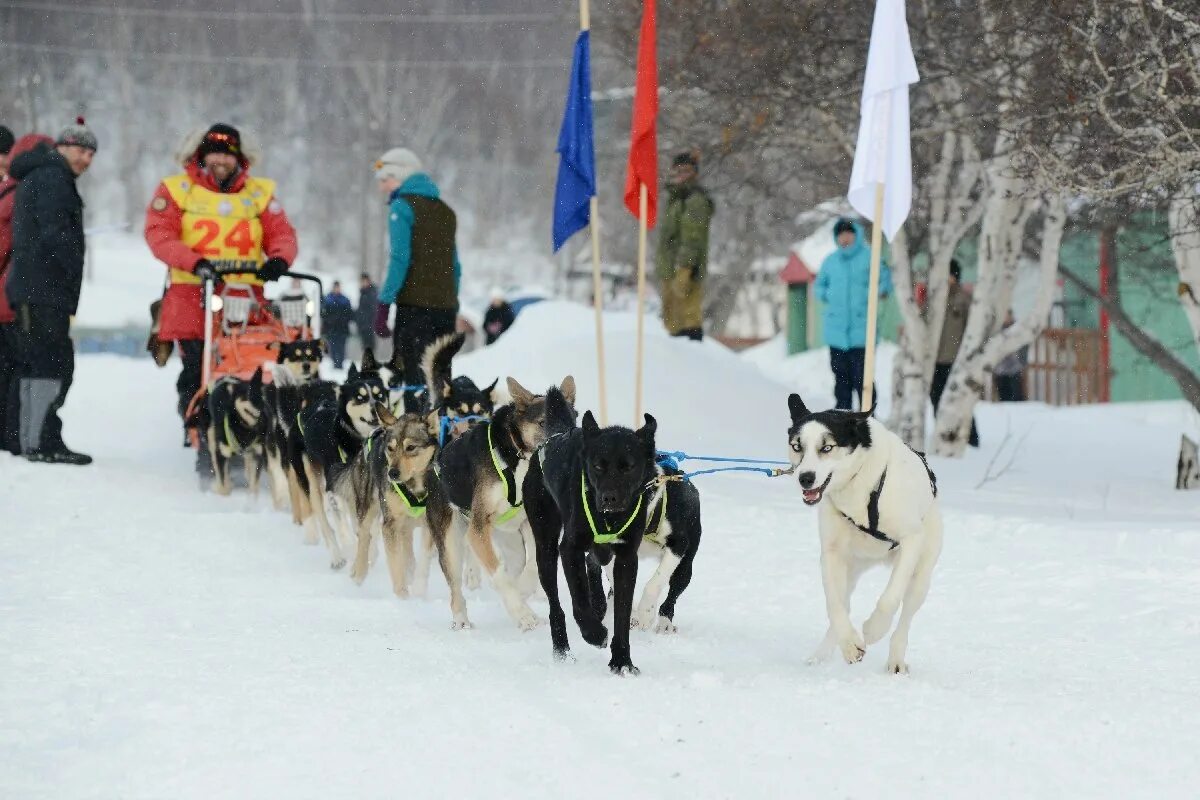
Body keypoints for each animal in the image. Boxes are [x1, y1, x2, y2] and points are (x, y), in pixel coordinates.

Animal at [787, 395, 945, 676]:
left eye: (827, 447)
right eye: (797, 446)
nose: (805, 478)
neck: (859, 483)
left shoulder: (910, 540)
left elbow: (890, 599)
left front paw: (873, 630)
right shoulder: (831, 554)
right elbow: (834, 605)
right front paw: (850, 645)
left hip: (920, 576)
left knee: (905, 617)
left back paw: (895, 659)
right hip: (851, 569)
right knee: (843, 604)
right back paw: (822, 655)